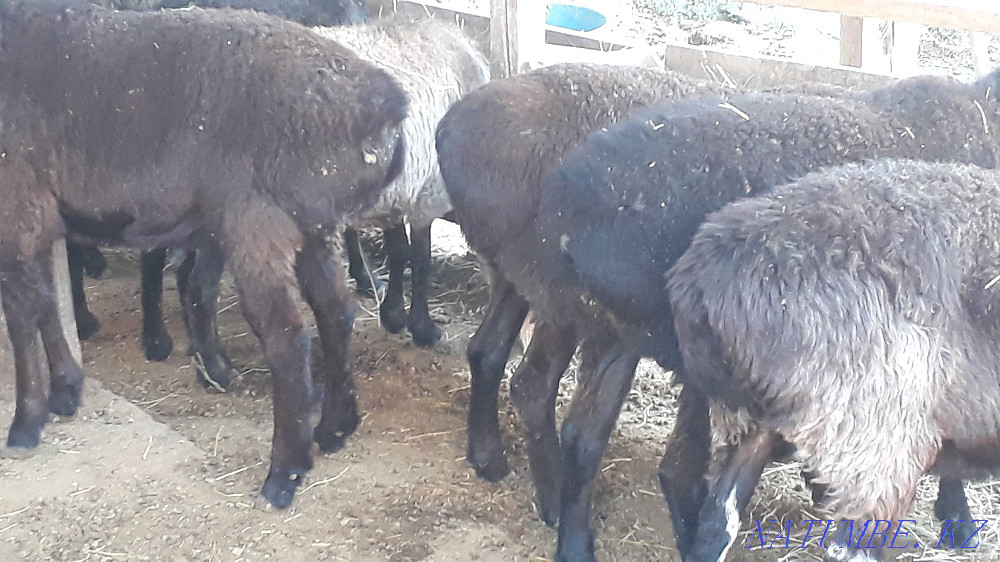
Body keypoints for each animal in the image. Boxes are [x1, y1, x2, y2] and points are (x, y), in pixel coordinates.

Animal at [0, 0, 406, 509]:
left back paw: (283, 475)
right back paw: (335, 427)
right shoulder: (39, 214)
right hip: (311, 221)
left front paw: (25, 423)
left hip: (258, 220)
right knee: (336, 312)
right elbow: (46, 302)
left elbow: (21, 313)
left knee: (289, 339)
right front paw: (65, 391)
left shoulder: (15, 203)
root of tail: (388, 103)